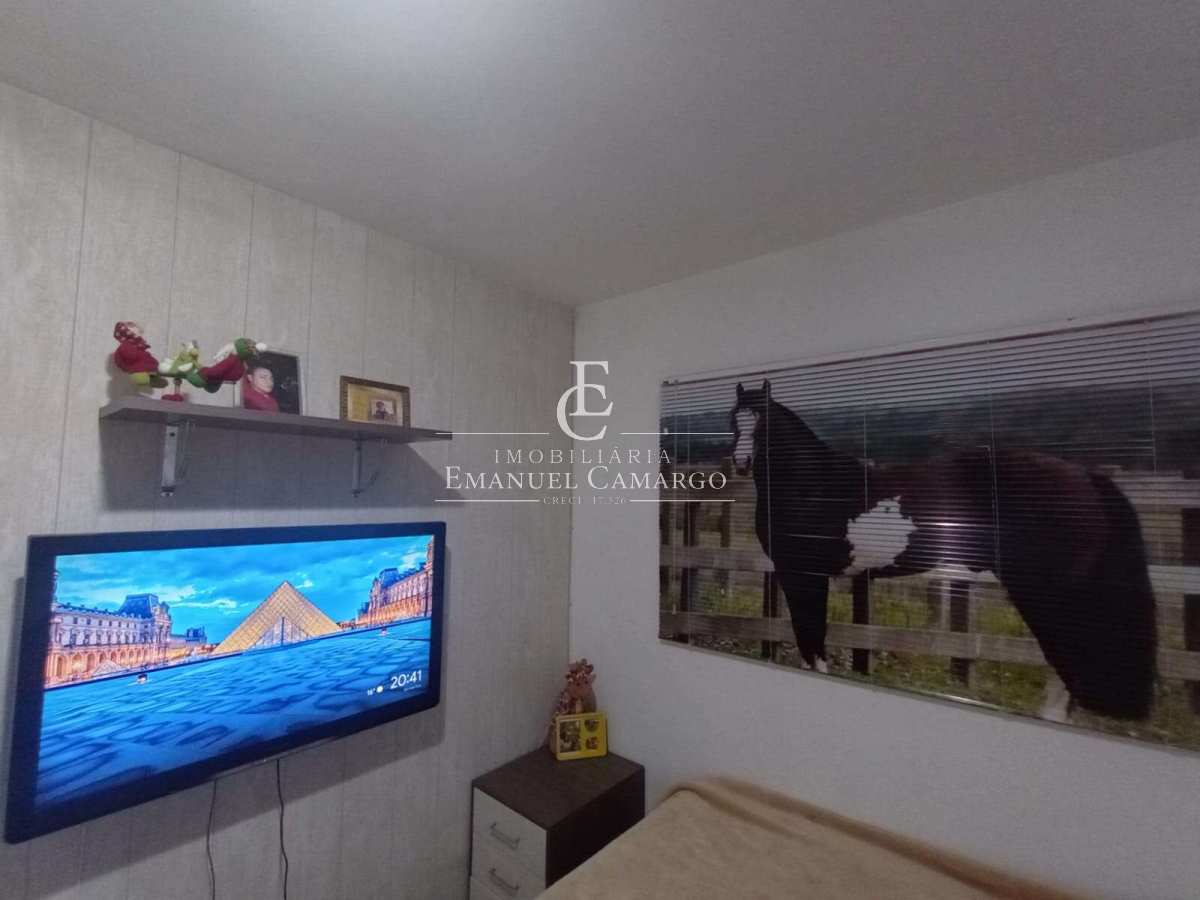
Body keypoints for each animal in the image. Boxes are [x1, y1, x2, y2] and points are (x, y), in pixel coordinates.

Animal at [729, 380, 1157, 721]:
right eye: (734, 420)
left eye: (763, 422)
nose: (740, 463)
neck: (814, 487)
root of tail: (1085, 475)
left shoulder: (805, 576)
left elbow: (811, 640)